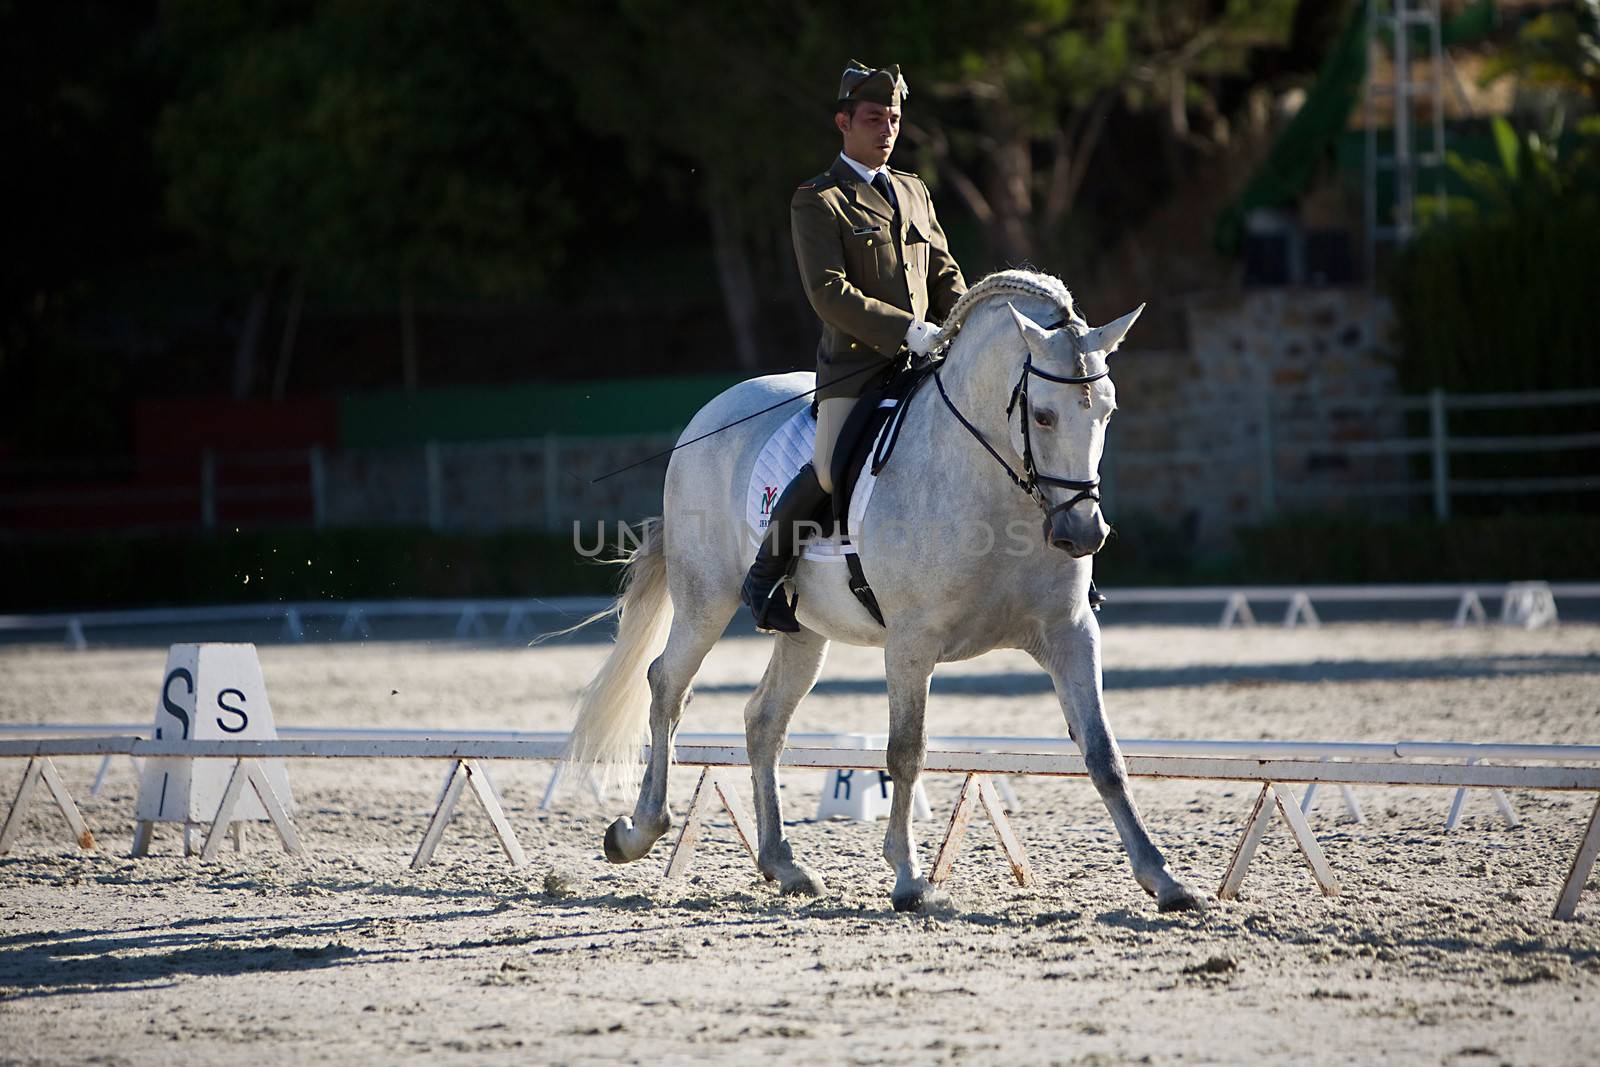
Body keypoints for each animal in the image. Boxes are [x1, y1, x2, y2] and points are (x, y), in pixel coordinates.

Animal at [563, 271, 1203, 915]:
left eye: (1108, 411)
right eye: (1043, 416)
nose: (1082, 533)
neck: (989, 487)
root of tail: (710, 413)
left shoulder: (1070, 632)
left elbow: (1104, 754)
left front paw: (1165, 880)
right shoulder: (911, 644)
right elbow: (906, 751)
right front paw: (909, 879)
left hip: (805, 631)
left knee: (764, 720)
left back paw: (784, 865)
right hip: (706, 601)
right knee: (667, 685)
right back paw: (637, 832)